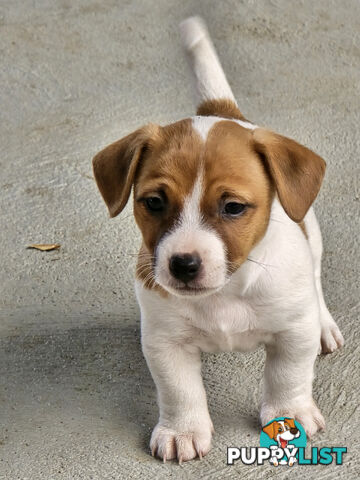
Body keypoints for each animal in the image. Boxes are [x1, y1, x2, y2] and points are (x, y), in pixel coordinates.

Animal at [92, 16, 344, 464]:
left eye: (233, 207)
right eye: (153, 202)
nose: (183, 264)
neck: (227, 290)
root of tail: (221, 112)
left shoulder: (292, 333)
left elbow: (287, 376)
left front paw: (290, 415)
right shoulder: (166, 343)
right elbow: (179, 391)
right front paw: (182, 431)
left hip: (310, 235)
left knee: (315, 279)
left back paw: (325, 325)